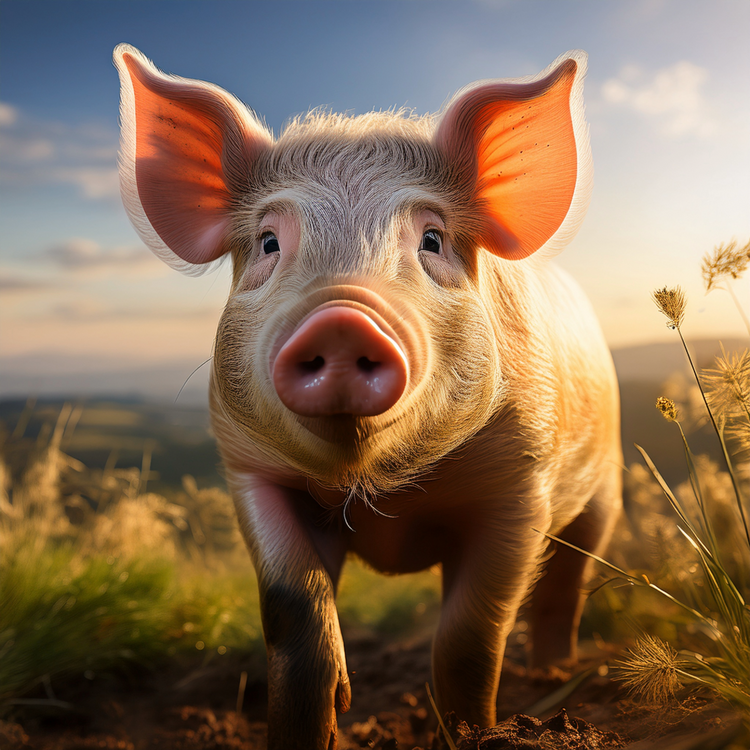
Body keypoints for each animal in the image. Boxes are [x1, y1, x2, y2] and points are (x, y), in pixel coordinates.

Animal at [114, 44, 622, 750]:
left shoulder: (521, 483)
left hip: (605, 489)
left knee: (567, 586)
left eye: (432, 239)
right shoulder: (249, 469)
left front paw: (468, 732)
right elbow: (292, 609)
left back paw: (554, 674)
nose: (341, 318)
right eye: (269, 242)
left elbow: (471, 634)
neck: (381, 492)